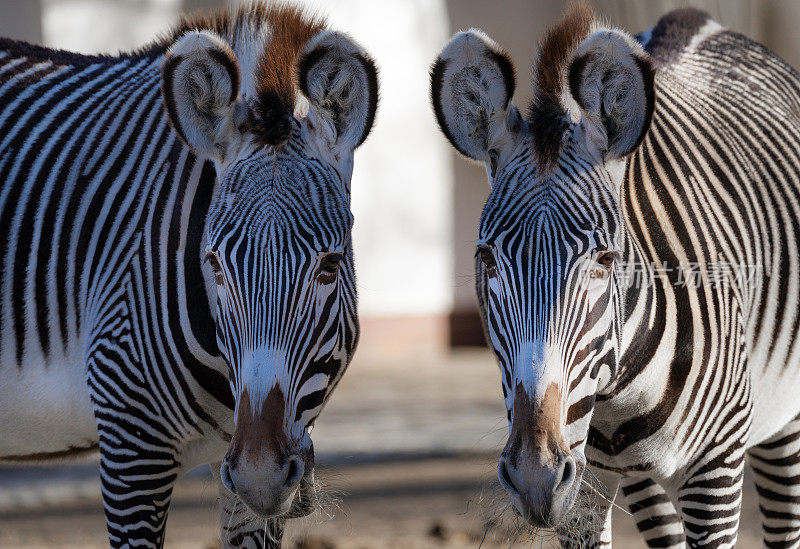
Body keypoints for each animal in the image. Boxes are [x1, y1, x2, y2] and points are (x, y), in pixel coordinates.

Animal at [434, 5, 800, 548]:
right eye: (486, 257)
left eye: (605, 260)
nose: (534, 479)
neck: (619, 397)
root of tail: (704, 22)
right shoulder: (584, 481)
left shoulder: (716, 467)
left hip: (784, 420)